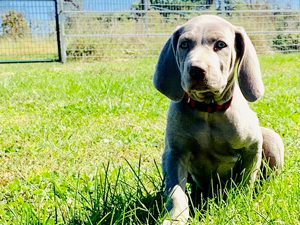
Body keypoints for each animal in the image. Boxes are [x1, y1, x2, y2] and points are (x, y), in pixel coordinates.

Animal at [152, 14, 284, 224]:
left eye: (221, 45)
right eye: (184, 44)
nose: (196, 70)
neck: (209, 109)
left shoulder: (252, 147)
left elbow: (246, 181)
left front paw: (240, 205)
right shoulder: (174, 153)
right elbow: (176, 193)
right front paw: (174, 218)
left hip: (271, 138)